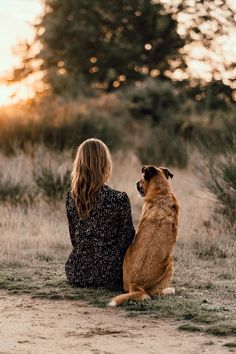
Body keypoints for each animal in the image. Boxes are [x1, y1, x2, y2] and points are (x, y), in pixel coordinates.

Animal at [108, 165, 179, 306]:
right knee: (154, 293)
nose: (136, 182)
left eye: (141, 179)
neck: (161, 192)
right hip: (170, 262)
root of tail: (135, 285)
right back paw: (168, 291)